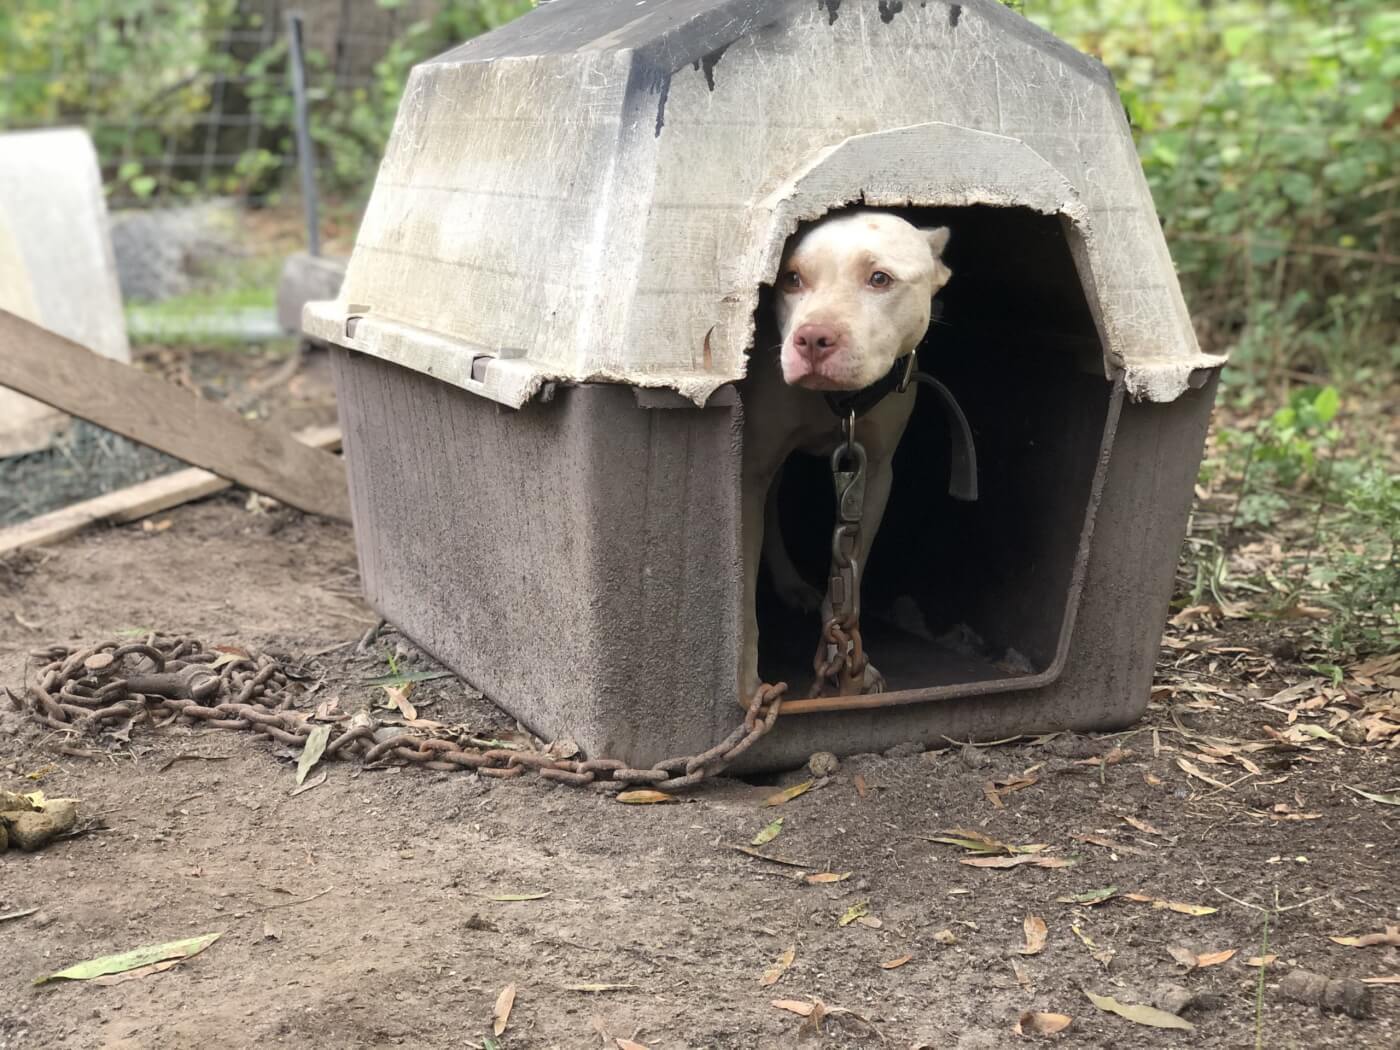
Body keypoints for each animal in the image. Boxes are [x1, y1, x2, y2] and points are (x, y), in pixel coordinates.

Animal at [744, 211, 952, 702]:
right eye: (791, 278)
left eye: (880, 278)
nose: (813, 338)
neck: (839, 404)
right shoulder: (748, 472)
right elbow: (739, 588)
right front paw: (745, 681)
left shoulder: (872, 477)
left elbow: (847, 584)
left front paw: (845, 662)